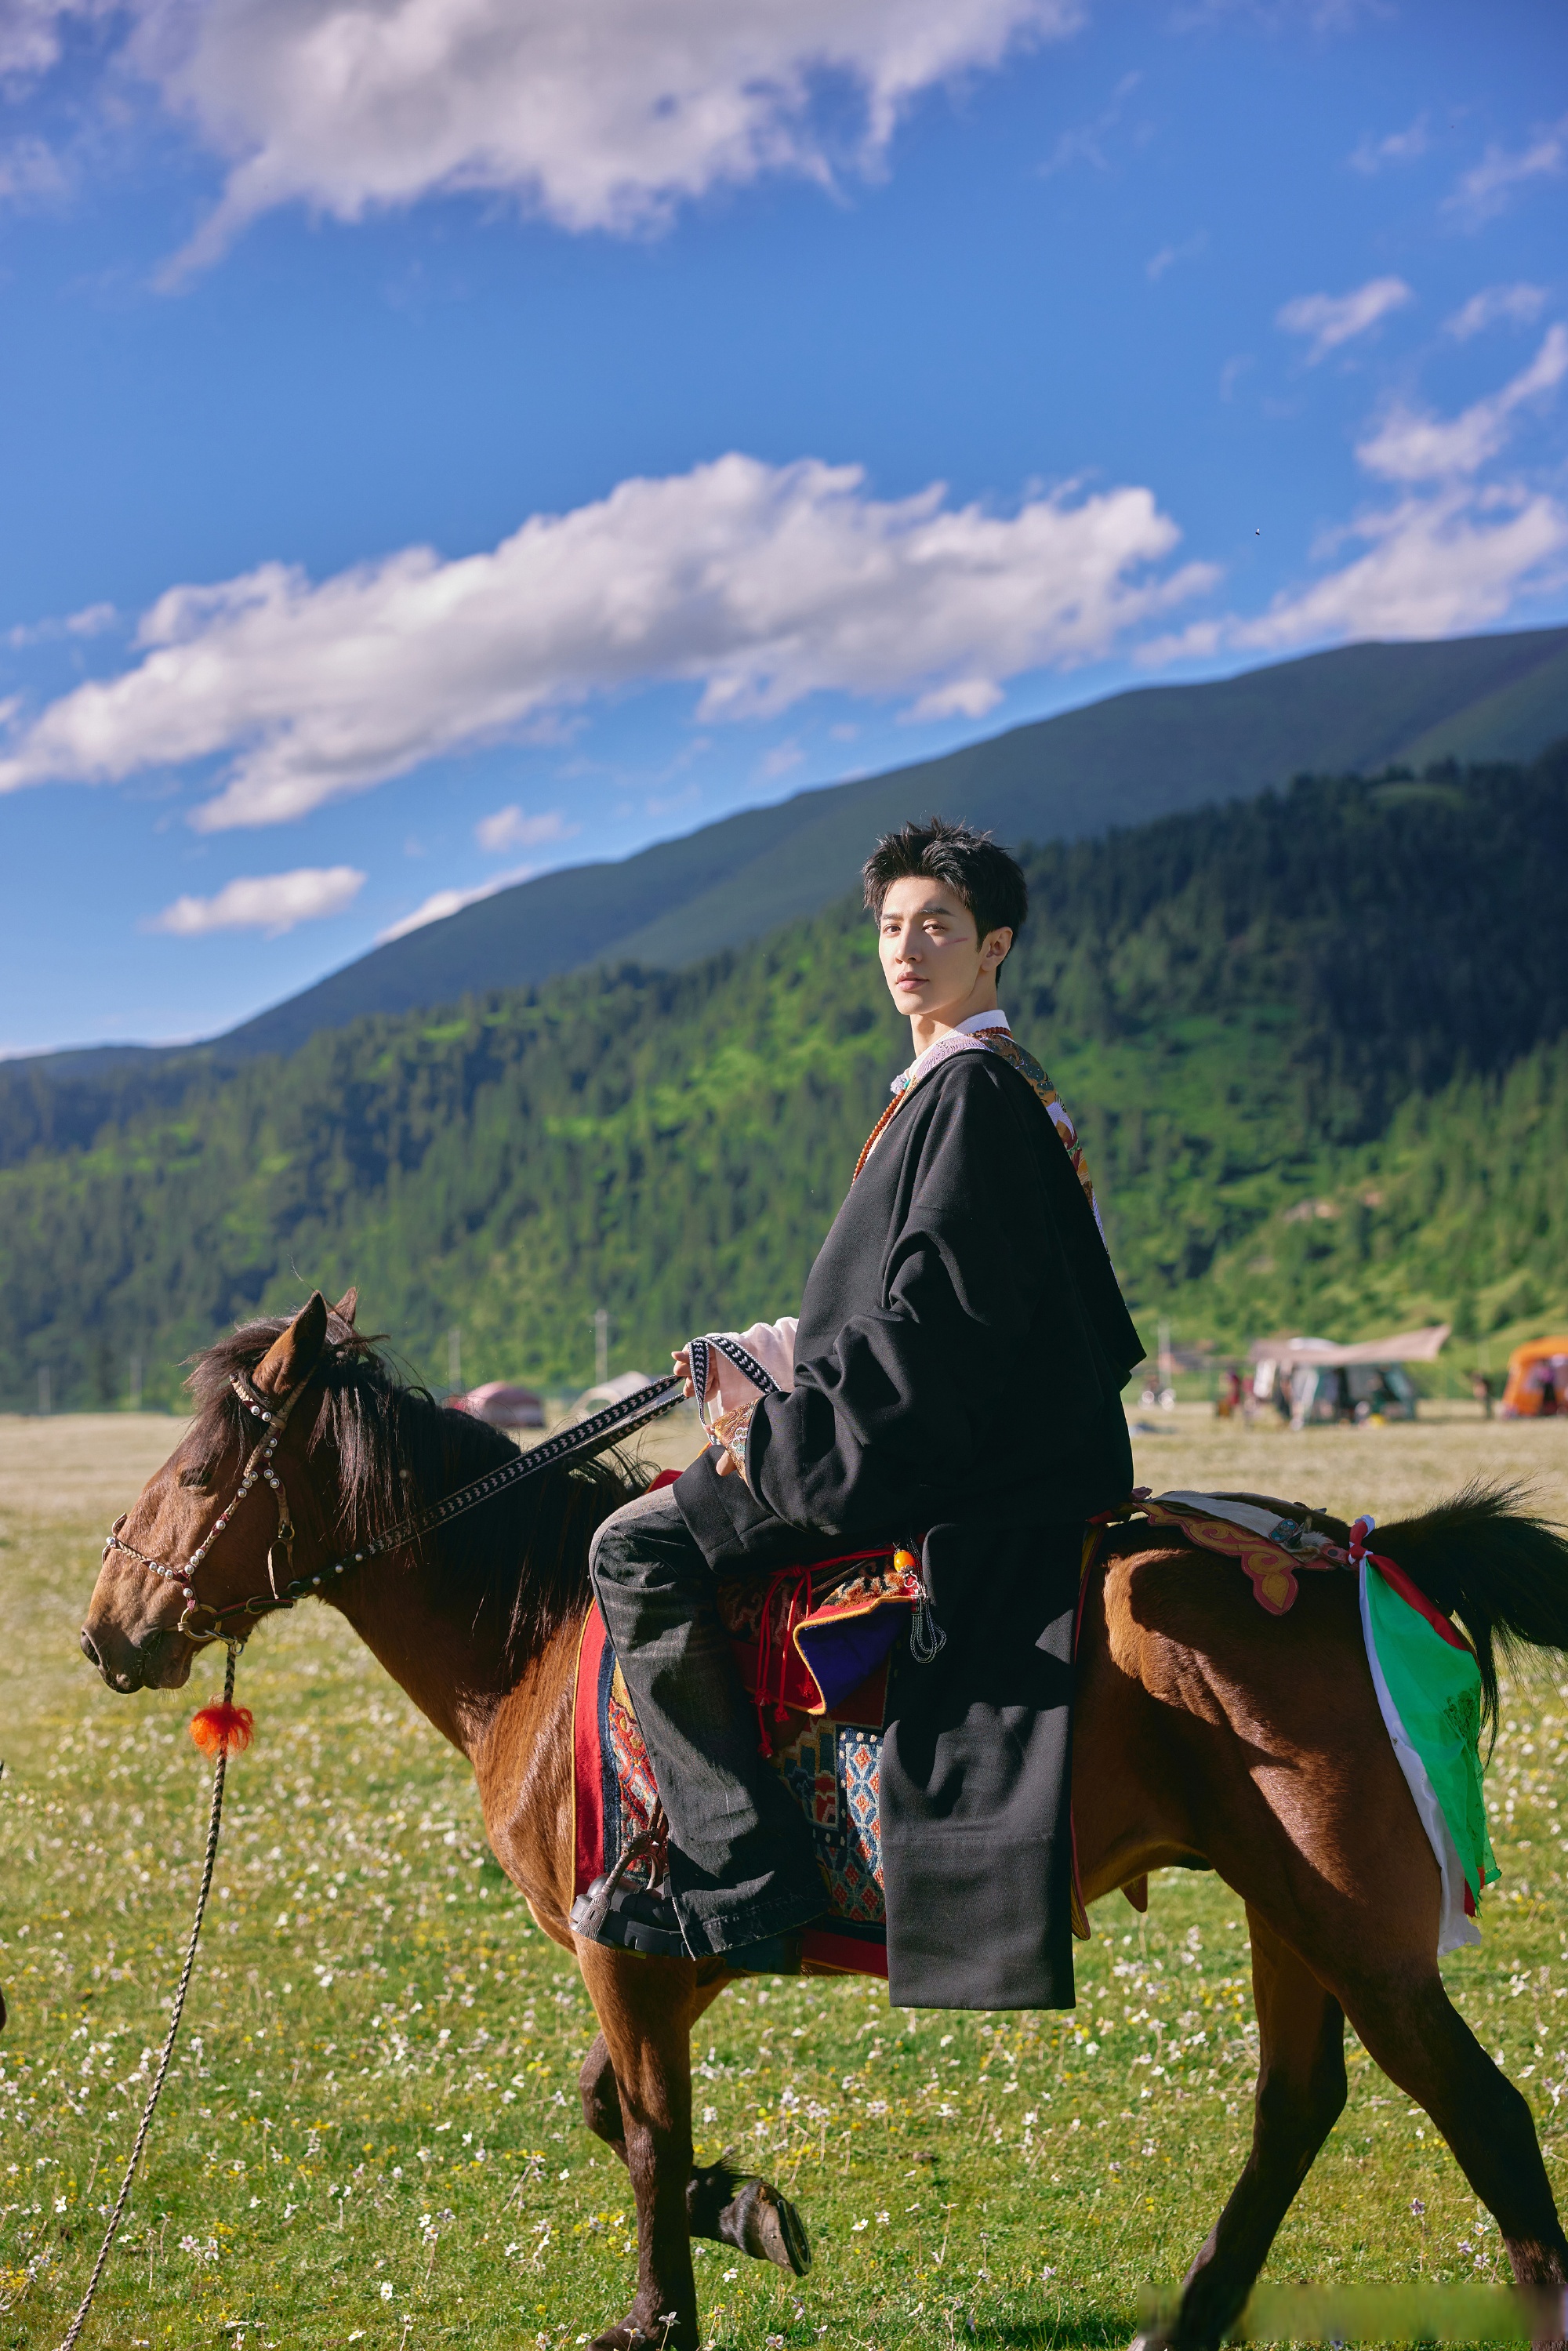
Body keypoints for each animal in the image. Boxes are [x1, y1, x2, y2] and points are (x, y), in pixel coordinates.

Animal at [76, 1297, 1568, 2342]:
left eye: (200, 1477)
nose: (109, 1629)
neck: (532, 1635)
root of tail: (1358, 1546)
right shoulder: (668, 1949)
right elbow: (610, 2106)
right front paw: (751, 2211)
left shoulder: (627, 1942)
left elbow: (641, 2126)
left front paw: (659, 2312)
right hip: (1281, 1899)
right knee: (1297, 2101)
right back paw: (1190, 2315)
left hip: (1346, 1914)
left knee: (1482, 2113)